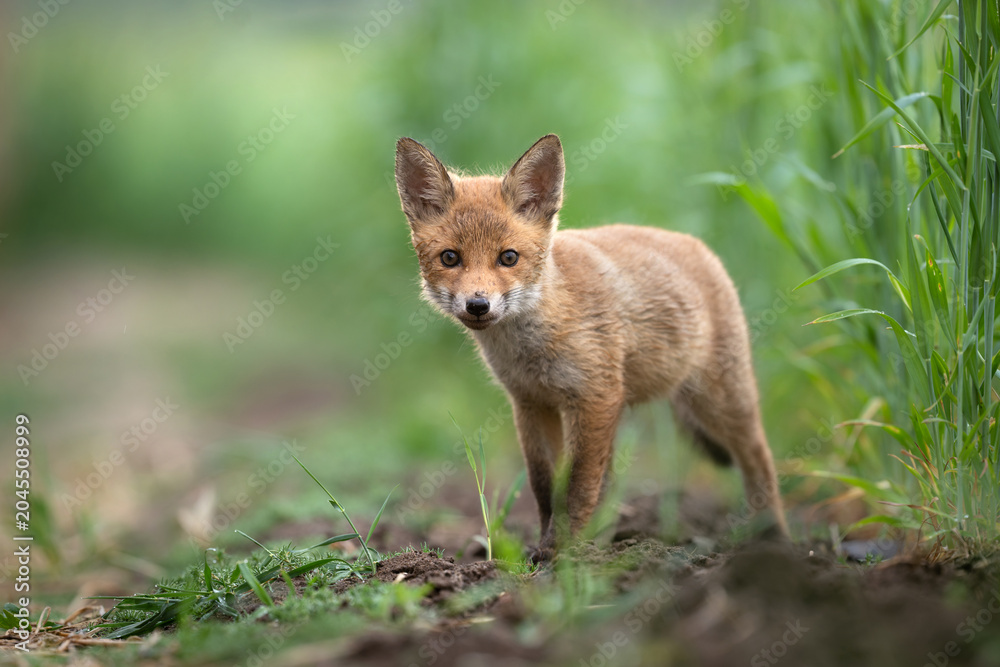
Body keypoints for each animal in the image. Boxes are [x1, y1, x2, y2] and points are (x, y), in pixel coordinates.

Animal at [394, 133, 788, 558]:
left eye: (508, 257)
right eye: (450, 258)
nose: (478, 305)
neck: (533, 346)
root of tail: (699, 247)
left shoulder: (593, 397)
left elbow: (579, 486)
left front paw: (561, 554)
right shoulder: (531, 403)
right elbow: (545, 485)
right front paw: (552, 548)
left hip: (719, 399)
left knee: (759, 457)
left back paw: (774, 538)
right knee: (610, 481)